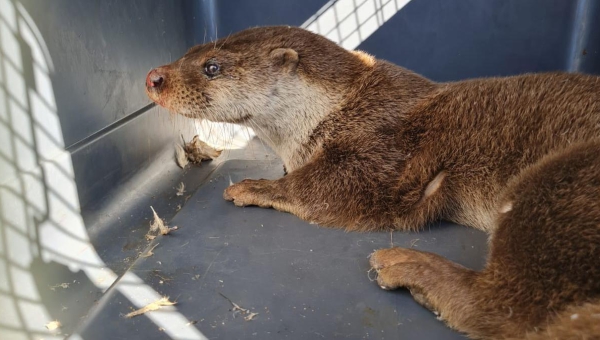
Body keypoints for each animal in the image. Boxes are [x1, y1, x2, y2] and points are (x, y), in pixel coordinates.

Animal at [146, 25, 600, 338]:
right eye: (188, 52)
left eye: (212, 67)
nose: (154, 76)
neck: (343, 107)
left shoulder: (383, 151)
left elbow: (327, 188)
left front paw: (255, 186)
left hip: (558, 184)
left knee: (505, 309)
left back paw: (405, 265)